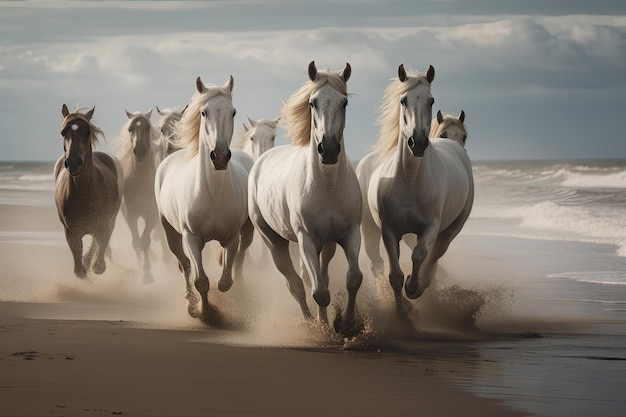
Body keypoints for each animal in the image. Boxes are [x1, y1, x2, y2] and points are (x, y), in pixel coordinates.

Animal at [53, 104, 123, 278]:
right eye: (63, 132)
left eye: (87, 132)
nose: (73, 163)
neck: (85, 191)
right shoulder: (71, 233)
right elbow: (79, 270)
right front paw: (84, 266)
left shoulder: (104, 225)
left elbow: (98, 262)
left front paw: (95, 264)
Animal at [112, 108, 166, 282]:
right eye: (130, 129)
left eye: (147, 127)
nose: (139, 151)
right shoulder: (130, 216)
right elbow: (136, 242)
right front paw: (139, 269)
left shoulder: (151, 215)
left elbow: (145, 241)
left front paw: (147, 273)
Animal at [154, 75, 254, 322]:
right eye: (203, 112)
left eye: (233, 112)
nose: (220, 156)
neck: (213, 193)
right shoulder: (191, 238)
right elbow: (201, 281)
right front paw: (206, 312)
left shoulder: (232, 238)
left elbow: (225, 280)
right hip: (170, 233)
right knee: (184, 265)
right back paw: (190, 303)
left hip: (248, 230)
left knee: (241, 258)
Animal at [245, 61, 358, 334]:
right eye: (312, 103)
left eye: (344, 103)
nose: (329, 149)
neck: (328, 186)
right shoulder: (306, 239)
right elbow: (319, 292)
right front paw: (324, 326)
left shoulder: (350, 234)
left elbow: (353, 279)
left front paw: (347, 323)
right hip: (273, 240)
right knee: (295, 283)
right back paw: (308, 321)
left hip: (326, 244)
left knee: (320, 275)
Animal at [358, 63, 470, 314]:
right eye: (403, 100)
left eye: (431, 100)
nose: (417, 143)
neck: (409, 179)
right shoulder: (389, 230)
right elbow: (395, 275)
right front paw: (401, 312)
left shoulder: (430, 227)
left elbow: (420, 256)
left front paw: (413, 287)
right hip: (369, 229)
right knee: (377, 263)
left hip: (450, 229)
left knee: (434, 255)